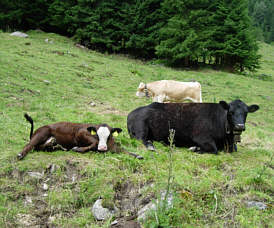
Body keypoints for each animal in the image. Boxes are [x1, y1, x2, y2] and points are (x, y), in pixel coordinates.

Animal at [126, 99, 260, 154]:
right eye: (230, 112)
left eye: (246, 113)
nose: (239, 126)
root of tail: (132, 112)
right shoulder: (201, 137)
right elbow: (214, 149)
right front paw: (195, 148)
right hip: (141, 127)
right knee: (141, 139)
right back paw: (151, 146)